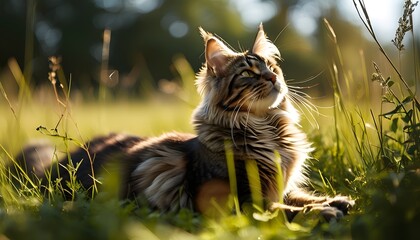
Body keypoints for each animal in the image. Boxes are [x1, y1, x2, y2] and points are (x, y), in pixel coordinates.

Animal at [15, 23, 352, 221]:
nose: (272, 78)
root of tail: (59, 161)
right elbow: (287, 210)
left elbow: (298, 196)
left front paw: (337, 200)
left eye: (271, 67)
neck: (268, 129)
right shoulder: (242, 200)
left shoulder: (279, 186)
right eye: (248, 73)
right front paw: (323, 211)